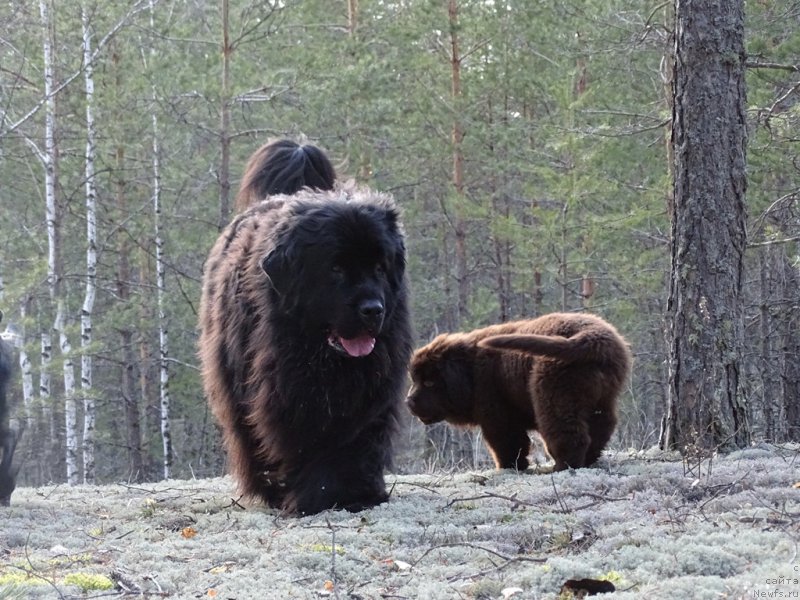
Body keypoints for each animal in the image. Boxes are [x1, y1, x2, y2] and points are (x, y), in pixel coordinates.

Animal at [200, 148, 412, 512]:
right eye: (336, 268)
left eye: (379, 267)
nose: (373, 309)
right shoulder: (287, 389)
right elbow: (304, 440)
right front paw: (318, 496)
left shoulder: (373, 386)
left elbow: (357, 440)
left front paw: (358, 493)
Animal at [406, 314, 632, 474]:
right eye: (414, 380)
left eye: (429, 382)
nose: (408, 402)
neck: (470, 371)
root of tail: (592, 338)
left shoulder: (496, 413)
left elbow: (508, 442)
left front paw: (509, 466)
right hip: (602, 398)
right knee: (602, 427)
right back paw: (590, 458)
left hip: (554, 393)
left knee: (568, 433)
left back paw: (561, 467)